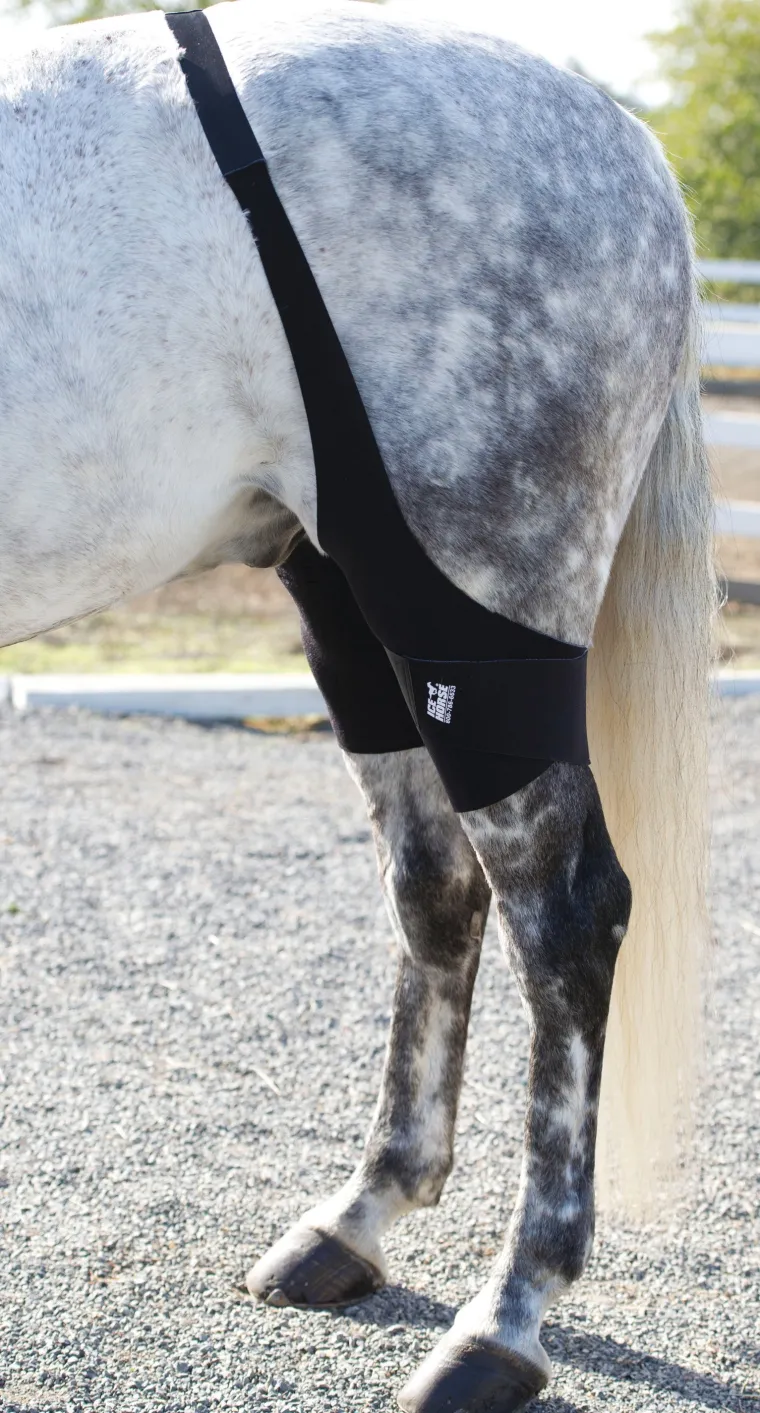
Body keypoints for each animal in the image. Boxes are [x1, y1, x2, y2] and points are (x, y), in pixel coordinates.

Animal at [0, 4, 715, 1410]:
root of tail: (621, 137)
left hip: (480, 612)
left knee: (567, 921)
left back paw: (504, 1320)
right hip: (351, 606)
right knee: (437, 892)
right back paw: (360, 1217)